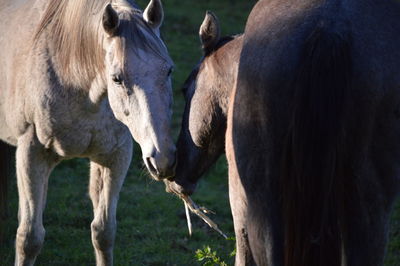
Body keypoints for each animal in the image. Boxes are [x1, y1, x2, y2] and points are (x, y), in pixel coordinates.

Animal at [0, 0, 177, 264]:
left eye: (168, 71)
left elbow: (103, 231)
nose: (163, 159)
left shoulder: (114, 156)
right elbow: (29, 238)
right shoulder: (31, 153)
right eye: (117, 78)